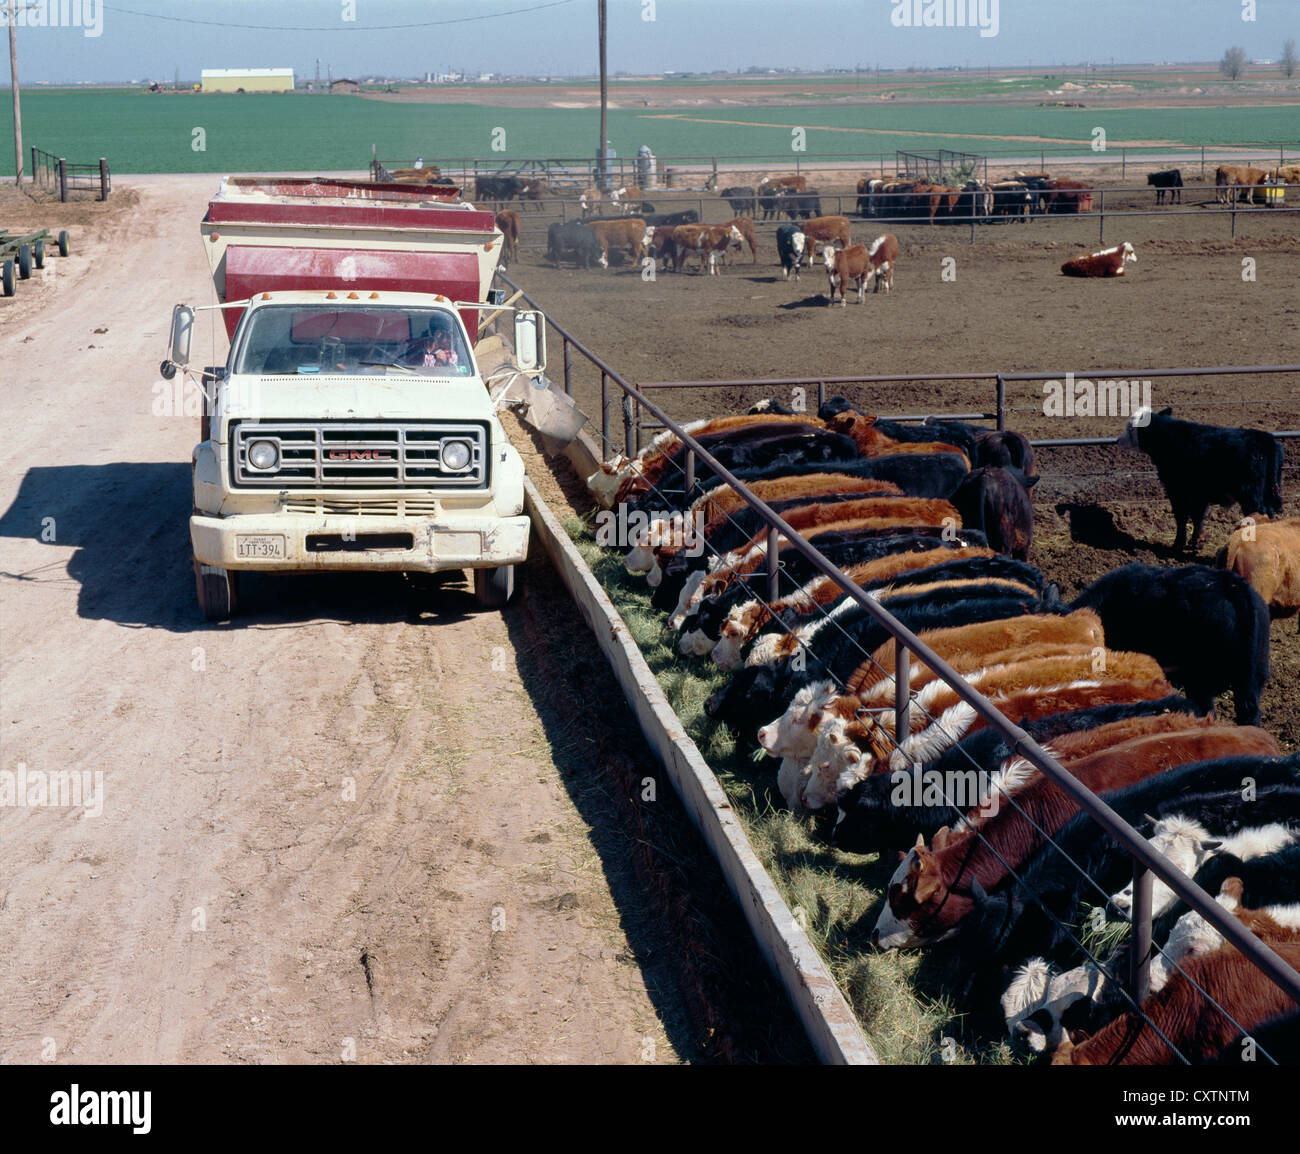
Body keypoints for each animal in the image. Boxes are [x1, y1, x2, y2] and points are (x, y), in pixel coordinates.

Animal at [1118, 405, 1289, 551]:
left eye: (1130, 427)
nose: (1118, 441)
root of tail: (1264, 438)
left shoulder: (1177, 490)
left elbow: (1181, 517)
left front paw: (1178, 544)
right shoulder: (1199, 493)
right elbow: (1198, 516)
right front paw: (1197, 541)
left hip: (1251, 495)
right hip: (1268, 492)